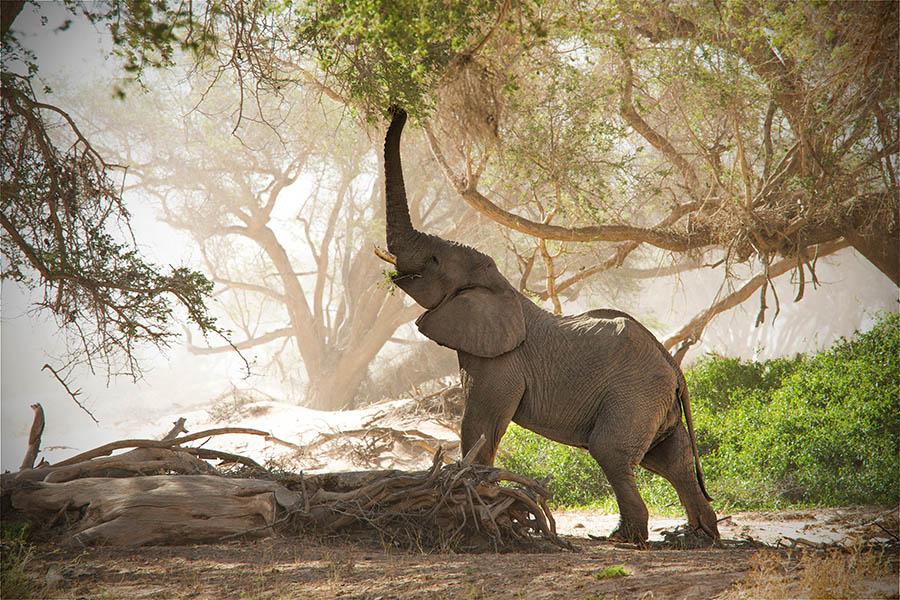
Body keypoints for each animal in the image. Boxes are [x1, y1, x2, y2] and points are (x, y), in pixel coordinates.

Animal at [375, 107, 719, 543]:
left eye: (435, 261)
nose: (398, 110)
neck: (501, 287)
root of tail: (674, 366)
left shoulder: (501, 363)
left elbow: (480, 424)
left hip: (635, 395)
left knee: (611, 451)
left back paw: (623, 539)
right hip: (654, 401)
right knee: (671, 460)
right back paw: (698, 537)